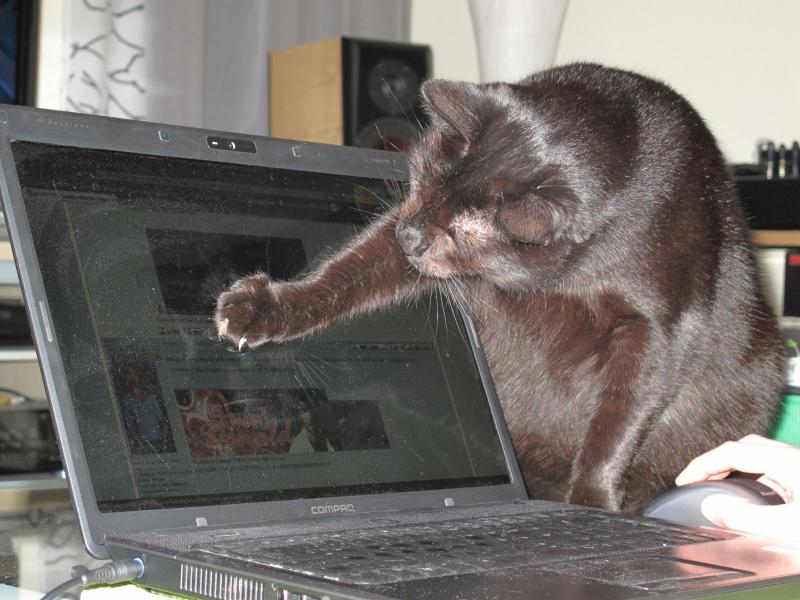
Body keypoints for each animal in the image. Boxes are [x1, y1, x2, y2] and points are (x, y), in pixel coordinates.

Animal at [214, 63, 784, 513]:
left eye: (457, 234)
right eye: (422, 180)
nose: (410, 235)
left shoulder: (659, 326)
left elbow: (619, 419)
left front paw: (592, 502)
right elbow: (343, 272)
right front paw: (265, 307)